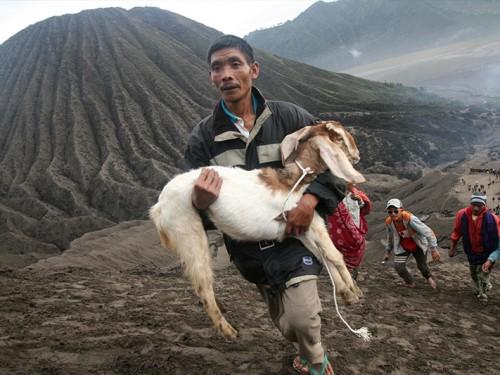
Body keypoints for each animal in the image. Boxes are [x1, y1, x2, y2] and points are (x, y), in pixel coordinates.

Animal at [148, 122, 368, 342]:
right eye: (338, 136)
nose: (357, 154)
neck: (296, 181)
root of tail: (159, 206)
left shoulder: (301, 230)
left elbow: (323, 256)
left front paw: (346, 293)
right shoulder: (312, 223)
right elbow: (335, 255)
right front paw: (355, 292)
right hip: (189, 231)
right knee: (203, 284)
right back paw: (228, 331)